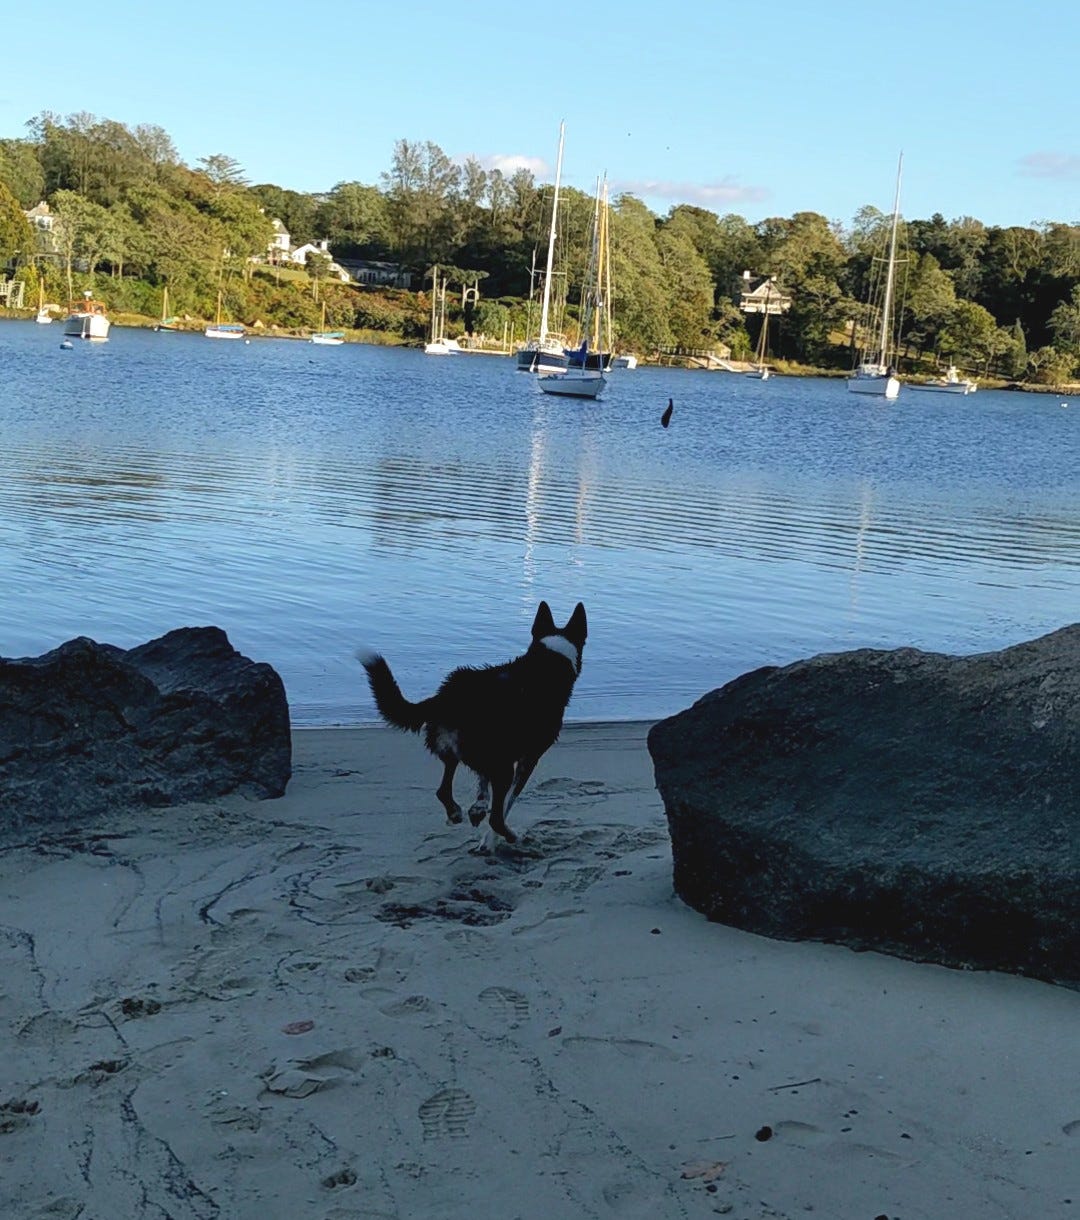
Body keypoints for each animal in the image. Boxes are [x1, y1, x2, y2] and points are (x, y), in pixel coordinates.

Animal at [358, 600, 585, 849]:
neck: (549, 661)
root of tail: (444, 698)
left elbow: (483, 785)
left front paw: (478, 808)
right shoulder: (528, 758)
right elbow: (507, 802)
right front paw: (489, 839)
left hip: (453, 751)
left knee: (443, 790)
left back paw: (456, 812)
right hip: (500, 765)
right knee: (496, 818)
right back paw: (514, 837)